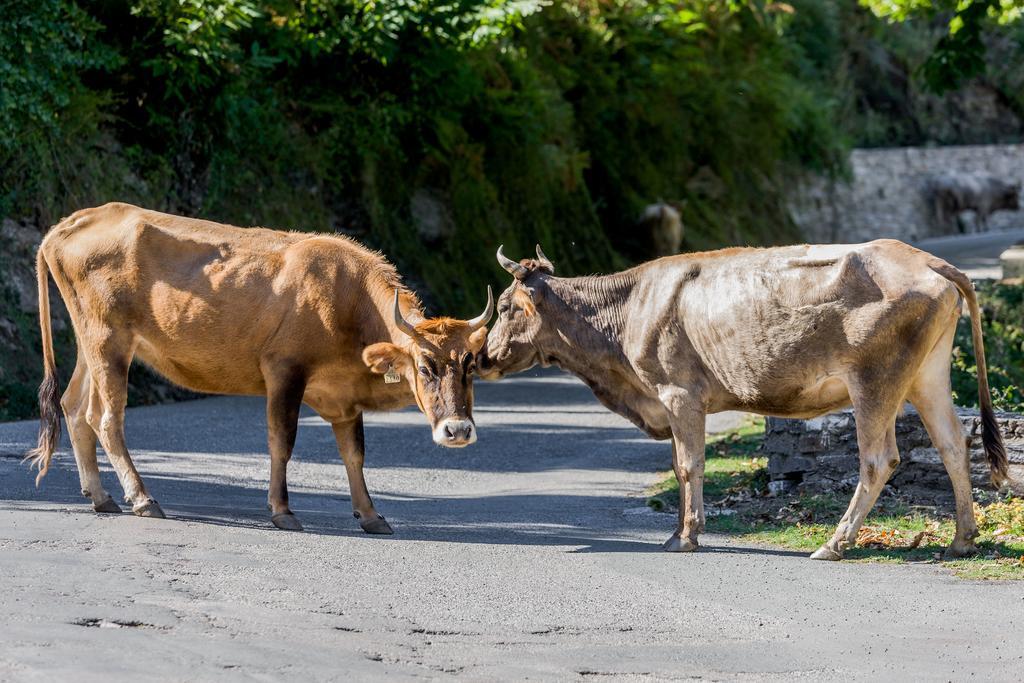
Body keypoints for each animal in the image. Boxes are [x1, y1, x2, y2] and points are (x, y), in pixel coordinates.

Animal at [22, 202, 489, 532]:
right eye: (425, 366)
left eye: (470, 366)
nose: (458, 430)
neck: (348, 302)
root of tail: (75, 221)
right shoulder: (284, 369)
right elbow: (282, 441)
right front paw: (282, 511)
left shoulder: (342, 395)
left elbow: (354, 452)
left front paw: (371, 515)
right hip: (109, 338)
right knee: (106, 418)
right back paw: (142, 498)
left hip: (91, 338)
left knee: (74, 406)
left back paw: (100, 496)